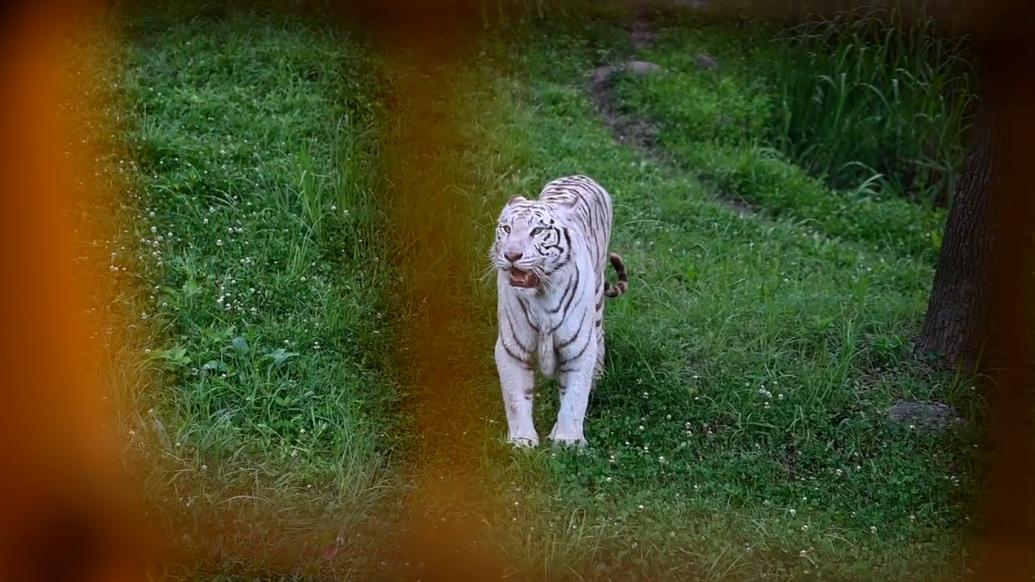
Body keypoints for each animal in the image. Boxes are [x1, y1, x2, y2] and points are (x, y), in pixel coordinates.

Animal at [488, 171, 625, 443]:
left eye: (537, 231)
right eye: (506, 229)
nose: (511, 255)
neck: (541, 294)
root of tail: (580, 175)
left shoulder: (578, 348)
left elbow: (575, 398)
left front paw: (567, 440)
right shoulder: (512, 347)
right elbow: (516, 398)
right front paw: (522, 441)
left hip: (597, 302)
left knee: (599, 334)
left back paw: (597, 377)